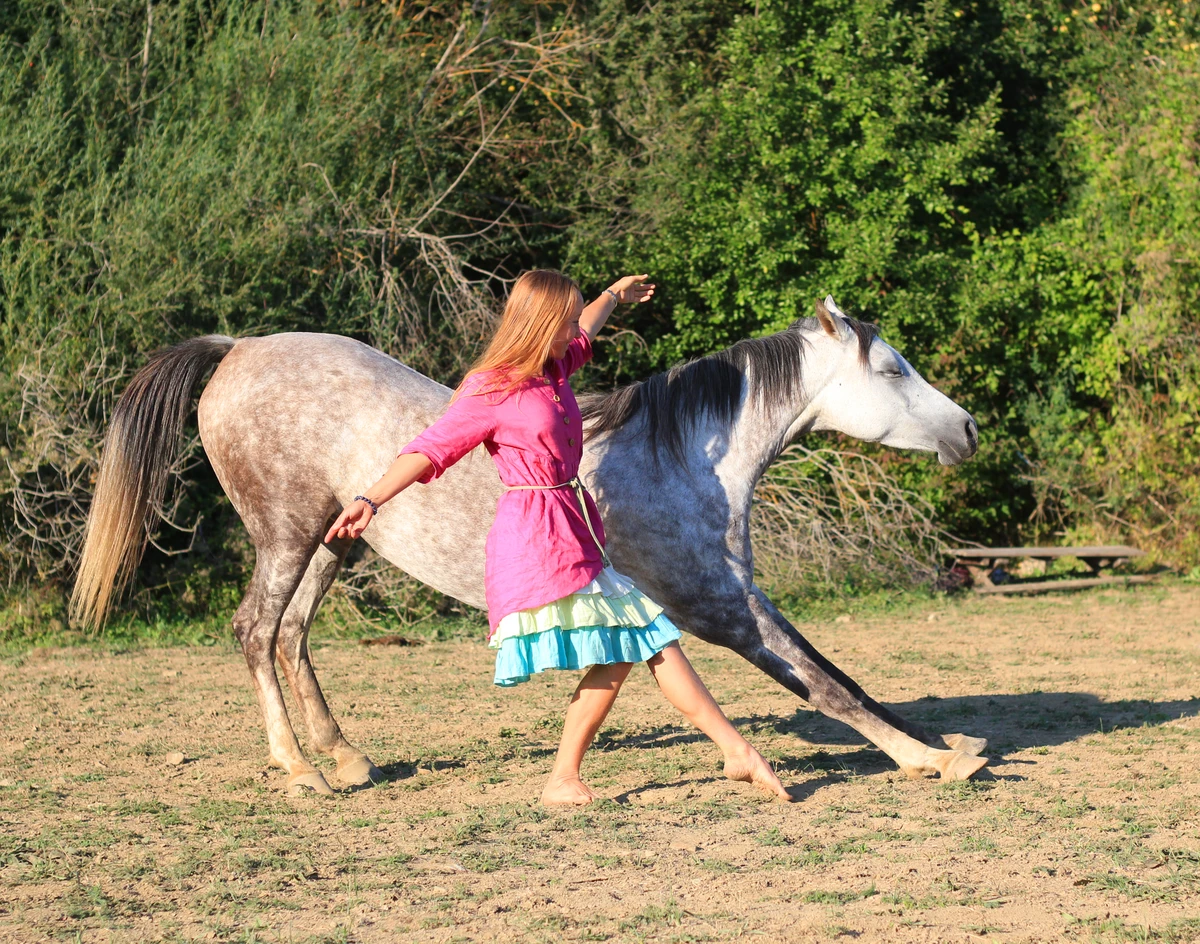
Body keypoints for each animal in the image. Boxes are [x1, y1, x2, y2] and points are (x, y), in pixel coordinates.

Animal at [72, 296, 988, 796]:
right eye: (893, 369)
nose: (970, 429)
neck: (684, 457)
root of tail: (240, 348)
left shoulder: (737, 596)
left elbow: (840, 673)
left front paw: (951, 746)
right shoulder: (717, 606)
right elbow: (823, 685)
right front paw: (928, 760)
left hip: (336, 539)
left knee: (292, 635)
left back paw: (346, 756)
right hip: (287, 535)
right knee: (257, 632)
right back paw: (300, 770)